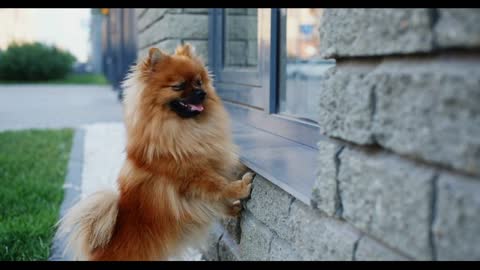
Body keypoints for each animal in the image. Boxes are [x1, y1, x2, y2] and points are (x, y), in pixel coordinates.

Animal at [57, 43, 253, 260]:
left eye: (199, 82)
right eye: (178, 86)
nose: (201, 92)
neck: (186, 130)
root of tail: (98, 250)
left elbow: (218, 199)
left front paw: (234, 207)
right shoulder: (193, 175)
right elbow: (218, 186)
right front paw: (240, 188)